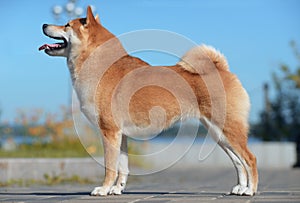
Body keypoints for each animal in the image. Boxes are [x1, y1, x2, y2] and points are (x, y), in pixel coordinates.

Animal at [38, 5, 258, 197]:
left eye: (66, 25)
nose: (44, 24)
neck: (99, 64)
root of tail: (222, 69)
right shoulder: (121, 135)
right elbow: (123, 167)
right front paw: (116, 189)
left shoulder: (109, 131)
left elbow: (110, 166)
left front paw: (103, 189)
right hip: (218, 133)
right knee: (239, 162)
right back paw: (239, 188)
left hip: (228, 129)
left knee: (250, 158)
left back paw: (250, 190)